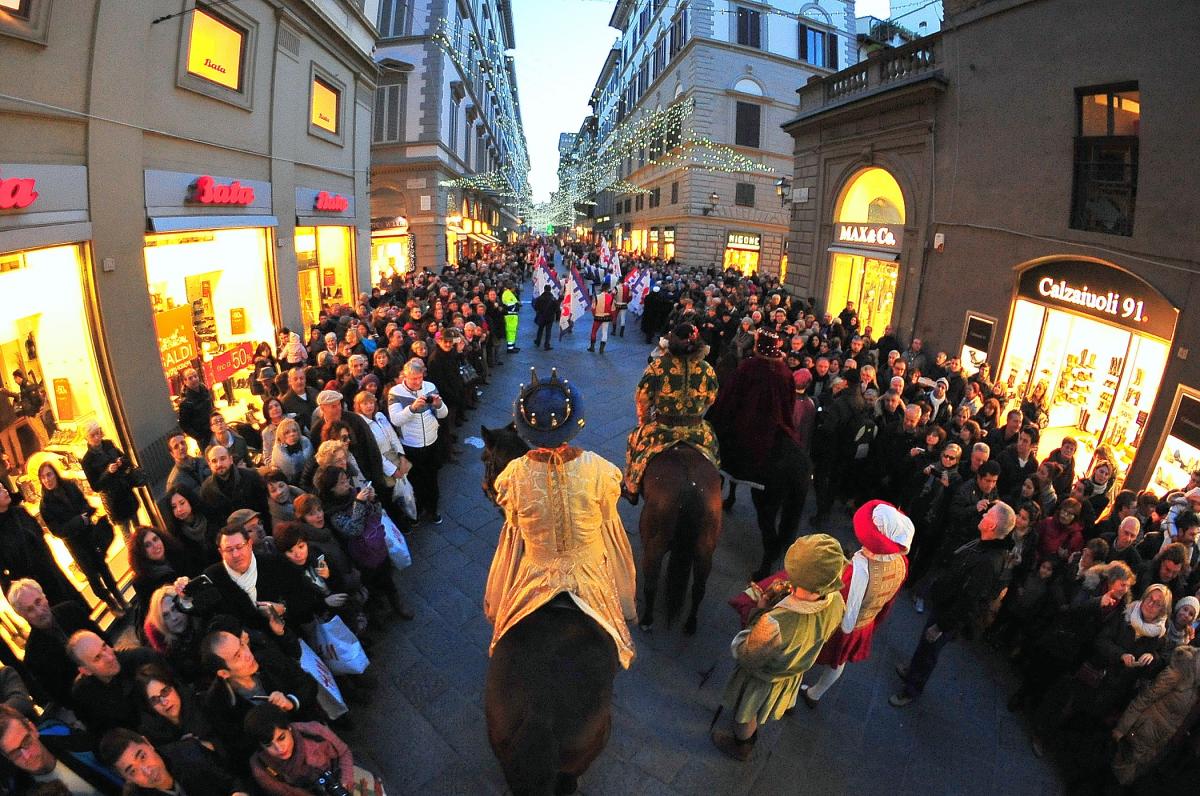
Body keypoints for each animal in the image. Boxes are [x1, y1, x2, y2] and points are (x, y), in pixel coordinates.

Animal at [638, 441, 720, 633]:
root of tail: (690, 488)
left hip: (654, 546)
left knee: (650, 584)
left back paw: (646, 621)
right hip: (704, 551)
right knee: (698, 589)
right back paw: (690, 624)